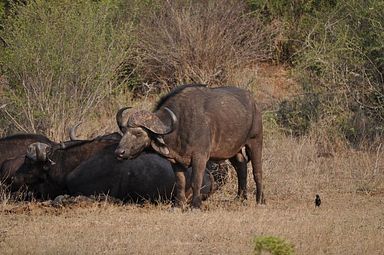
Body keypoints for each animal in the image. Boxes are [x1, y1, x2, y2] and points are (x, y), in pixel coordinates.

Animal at [115, 84, 262, 208]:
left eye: (138, 132)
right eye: (124, 131)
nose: (119, 152)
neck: (179, 126)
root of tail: (253, 102)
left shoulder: (200, 157)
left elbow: (196, 180)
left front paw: (195, 205)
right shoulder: (176, 161)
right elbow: (180, 182)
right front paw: (178, 205)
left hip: (255, 141)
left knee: (257, 171)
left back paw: (260, 200)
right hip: (233, 150)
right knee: (241, 167)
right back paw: (241, 199)